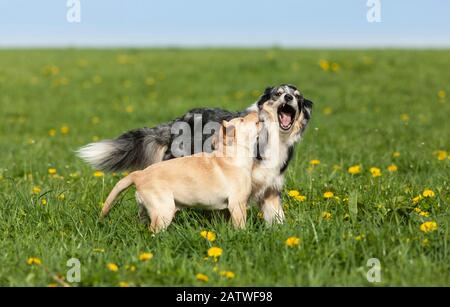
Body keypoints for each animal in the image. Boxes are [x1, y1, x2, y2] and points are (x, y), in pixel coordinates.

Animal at [100, 113, 258, 233]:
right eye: (242, 120)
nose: (256, 113)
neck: (230, 157)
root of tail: (139, 174)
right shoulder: (237, 204)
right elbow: (240, 226)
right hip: (163, 210)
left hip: (146, 210)